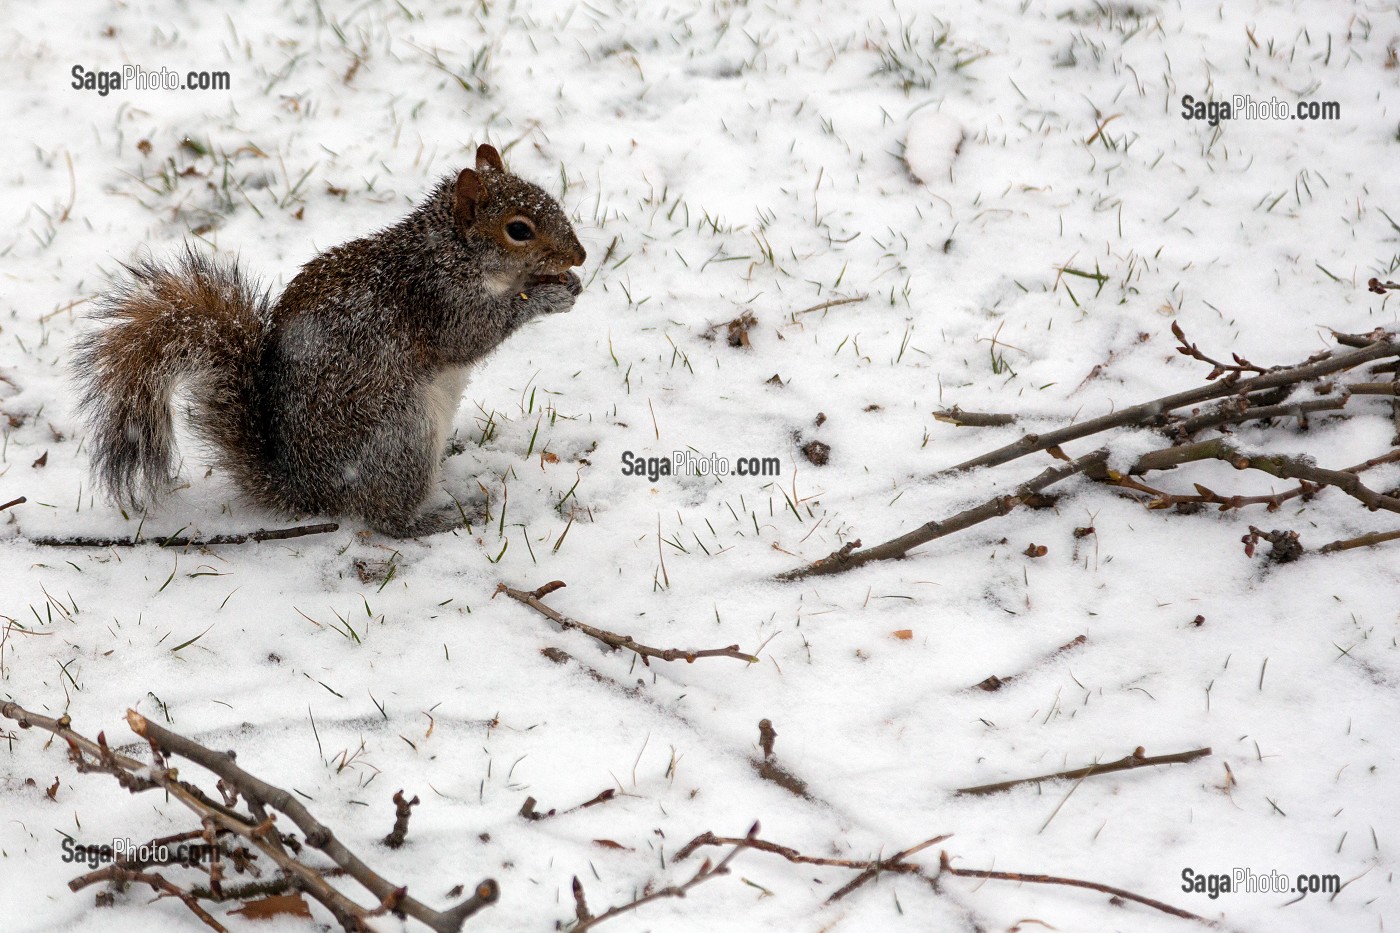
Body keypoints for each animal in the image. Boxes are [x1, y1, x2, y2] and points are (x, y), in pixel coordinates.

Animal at [73, 145, 588, 537]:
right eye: (518, 229)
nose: (580, 255)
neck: (448, 251)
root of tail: (306, 491)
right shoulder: (441, 299)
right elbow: (475, 334)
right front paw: (547, 297)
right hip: (402, 436)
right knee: (385, 518)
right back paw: (435, 521)